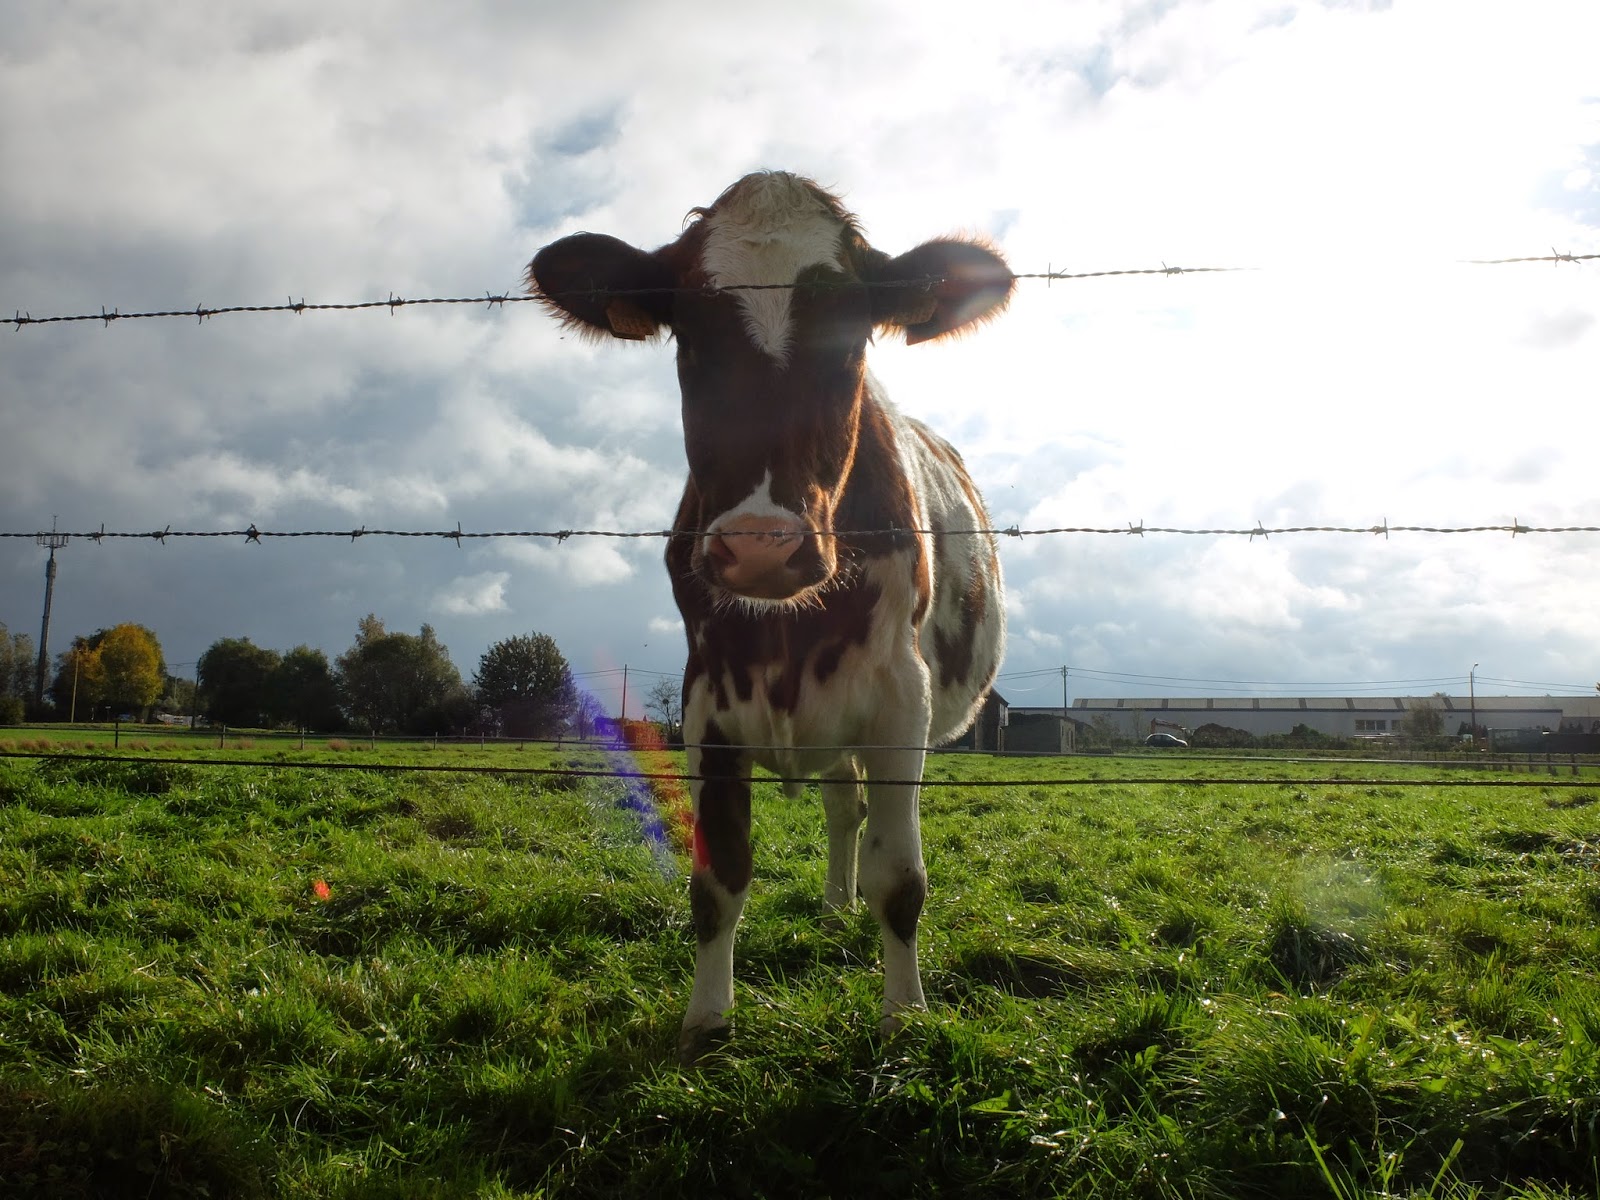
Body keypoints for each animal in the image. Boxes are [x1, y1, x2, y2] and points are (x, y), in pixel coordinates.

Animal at [528, 171, 1010, 1061]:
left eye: (853, 333)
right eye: (689, 334)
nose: (760, 546)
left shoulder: (902, 700)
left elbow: (901, 878)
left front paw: (904, 1016)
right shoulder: (707, 702)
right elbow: (718, 876)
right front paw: (706, 1020)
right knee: (841, 806)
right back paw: (832, 904)